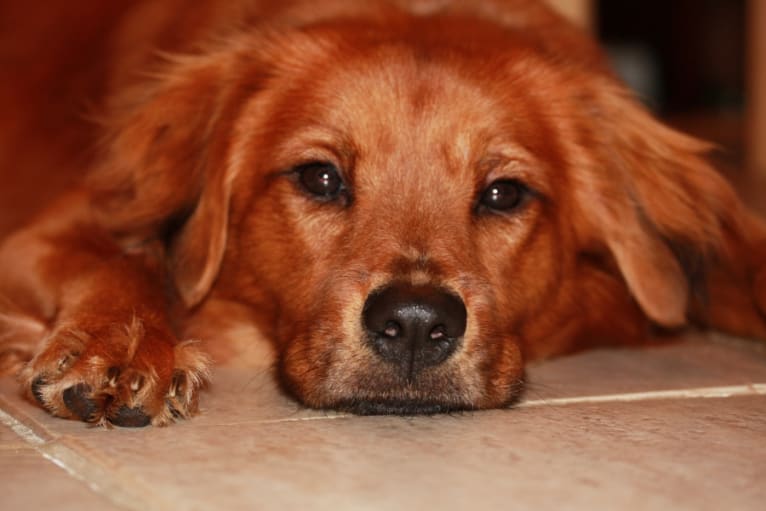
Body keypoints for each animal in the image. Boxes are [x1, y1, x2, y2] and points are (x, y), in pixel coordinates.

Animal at [1, 0, 766, 426]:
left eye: (504, 193)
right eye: (320, 177)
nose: (417, 324)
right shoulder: (58, 225)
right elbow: (117, 259)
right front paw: (121, 348)